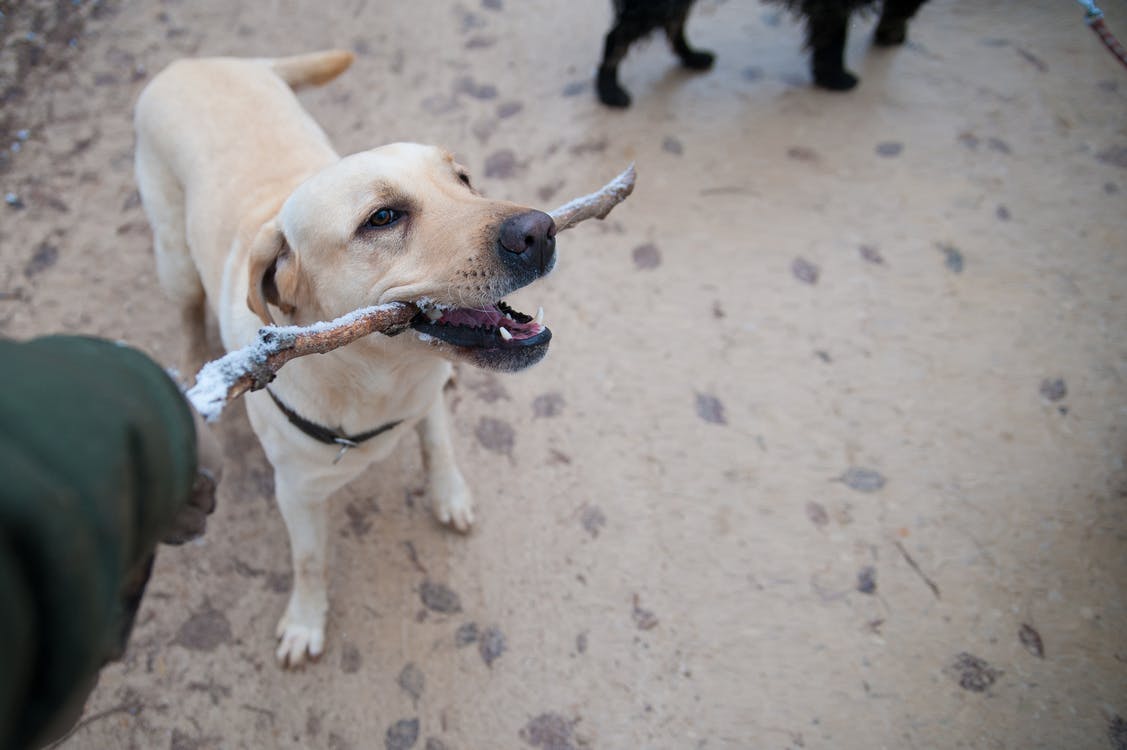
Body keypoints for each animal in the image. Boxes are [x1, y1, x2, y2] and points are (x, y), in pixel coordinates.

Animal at [135, 52, 554, 667]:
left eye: (462, 178)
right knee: (188, 310)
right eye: (382, 218)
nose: (541, 231)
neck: (378, 378)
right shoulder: (297, 495)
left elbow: (438, 444)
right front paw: (306, 621)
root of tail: (196, 60)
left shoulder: (425, 397)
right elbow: (310, 561)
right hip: (172, 257)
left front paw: (449, 493)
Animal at [595, 0, 928, 106]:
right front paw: (836, 77)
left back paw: (693, 57)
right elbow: (834, 36)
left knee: (673, 24)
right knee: (617, 37)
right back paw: (609, 90)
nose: (895, 38)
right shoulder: (832, 6)